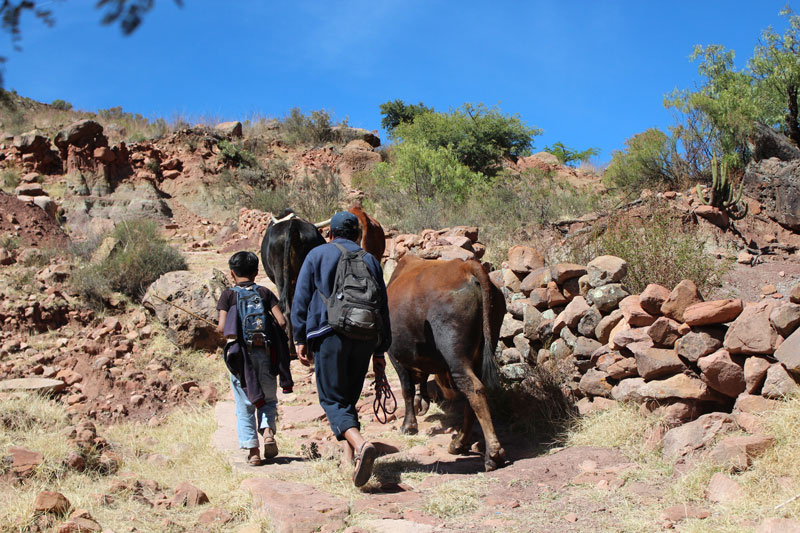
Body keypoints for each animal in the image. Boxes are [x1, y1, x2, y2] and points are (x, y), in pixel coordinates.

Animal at [388, 254, 506, 470]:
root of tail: (465, 267)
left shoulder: (395, 354)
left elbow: (407, 389)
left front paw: (408, 425)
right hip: (484, 345)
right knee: (474, 392)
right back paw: (460, 442)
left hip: (454, 352)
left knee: (473, 388)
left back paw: (492, 453)